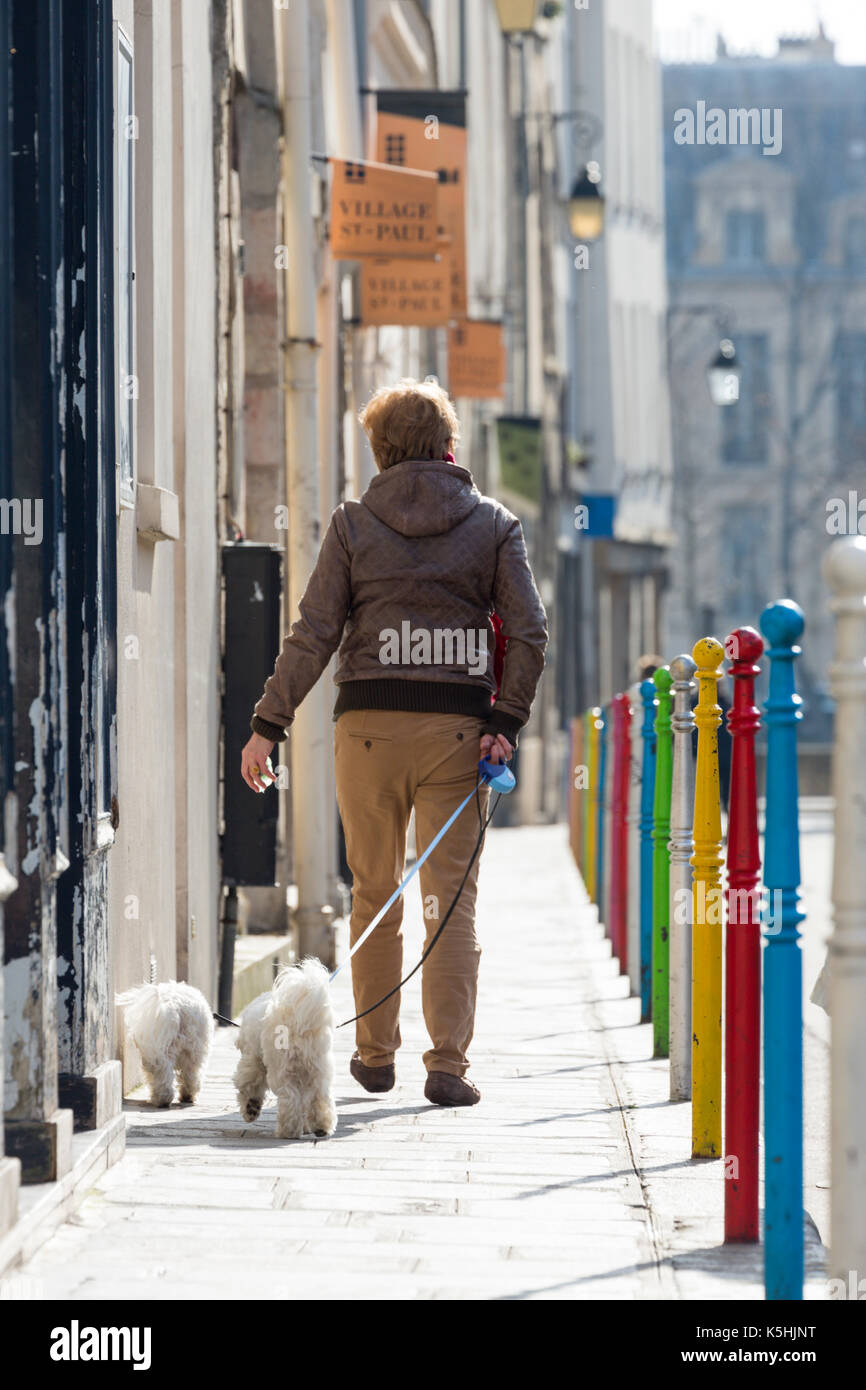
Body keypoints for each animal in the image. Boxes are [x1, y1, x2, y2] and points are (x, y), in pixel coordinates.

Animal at [116, 978, 214, 1106]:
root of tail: (173, 1003)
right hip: (189, 1048)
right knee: (186, 1071)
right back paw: (178, 1096)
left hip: (167, 1048)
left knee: (163, 1069)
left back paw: (164, 1098)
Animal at [233, 956, 339, 1139]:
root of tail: (297, 1024)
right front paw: (306, 1127)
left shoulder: (252, 1060)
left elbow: (248, 1084)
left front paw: (250, 1108)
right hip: (319, 1069)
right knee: (319, 1097)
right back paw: (321, 1127)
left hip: (282, 1069)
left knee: (290, 1098)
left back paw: (287, 1131)